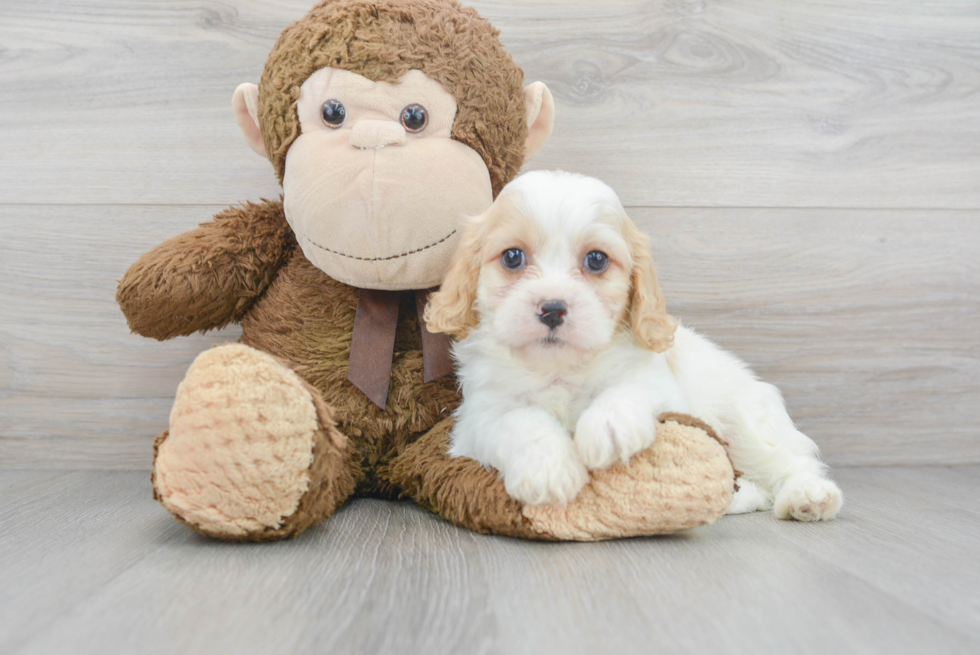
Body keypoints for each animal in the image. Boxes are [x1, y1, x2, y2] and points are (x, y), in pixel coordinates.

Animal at [424, 170, 848, 524]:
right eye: (513, 256)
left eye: (596, 260)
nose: (553, 308)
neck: (560, 366)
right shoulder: (478, 417)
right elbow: (521, 420)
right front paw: (547, 468)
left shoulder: (661, 385)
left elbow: (629, 390)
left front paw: (610, 427)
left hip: (746, 418)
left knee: (787, 462)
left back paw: (808, 496)